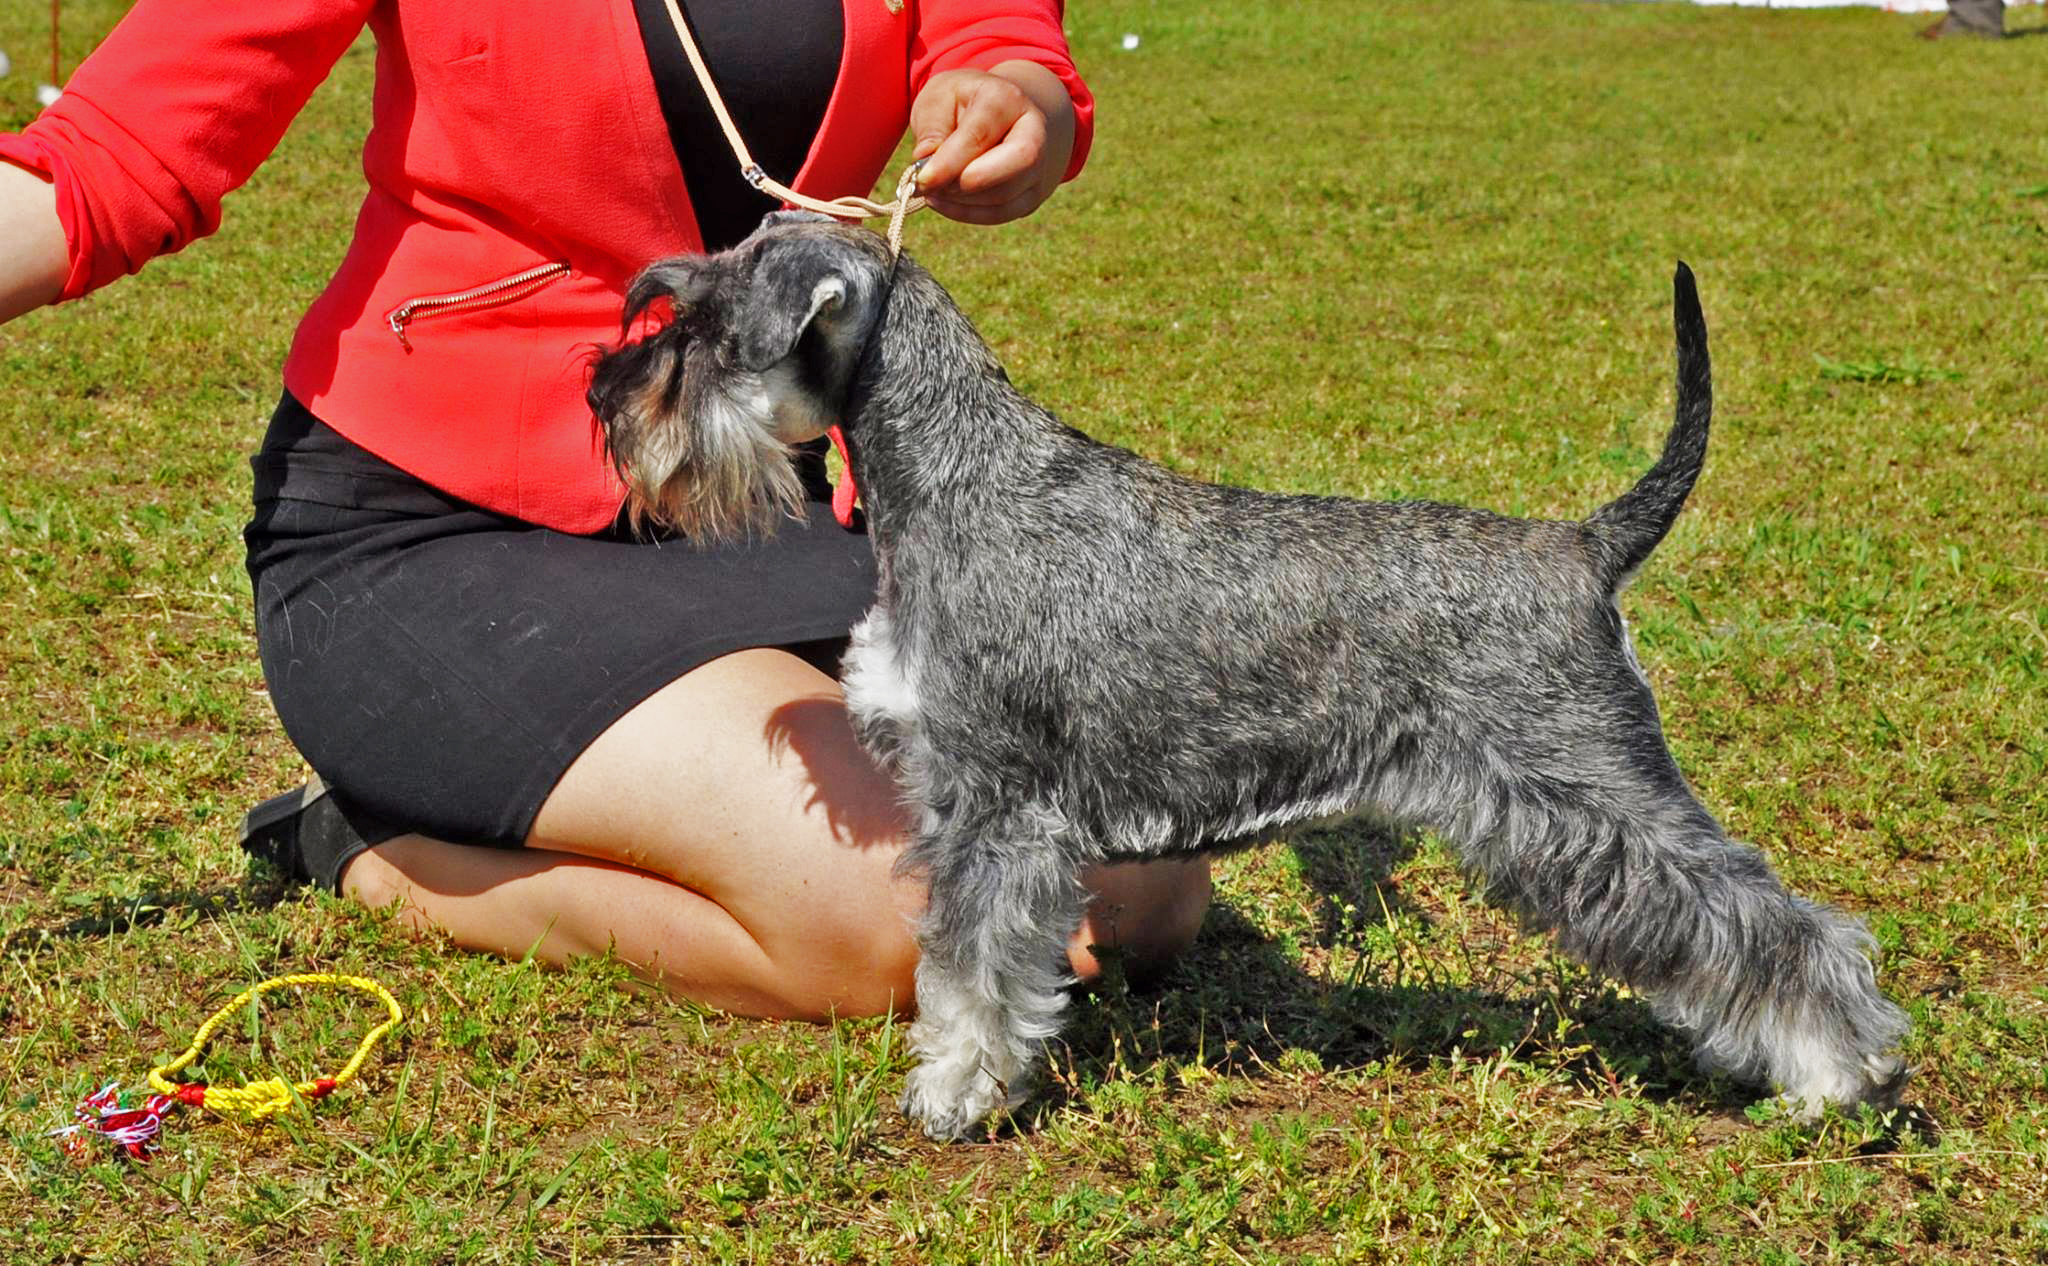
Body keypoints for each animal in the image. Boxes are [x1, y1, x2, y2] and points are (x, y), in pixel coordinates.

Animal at [585, 212, 1908, 1138]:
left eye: (699, 329)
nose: (602, 394)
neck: (961, 479)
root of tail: (1582, 549)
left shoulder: (995, 813)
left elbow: (966, 969)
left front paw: (954, 1097)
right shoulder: (998, 820)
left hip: (1591, 796)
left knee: (1776, 924)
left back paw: (1836, 1078)